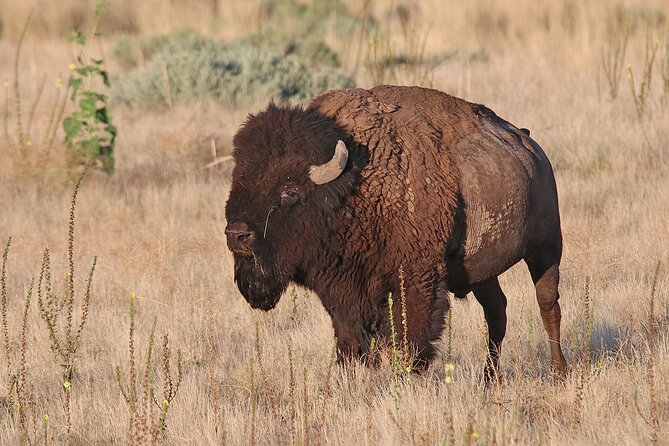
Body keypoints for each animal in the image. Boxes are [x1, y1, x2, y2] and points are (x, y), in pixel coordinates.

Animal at [225, 85, 567, 379]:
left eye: (290, 191)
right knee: (497, 313)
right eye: (238, 182)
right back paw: (489, 379)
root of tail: (531, 147)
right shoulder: (342, 293)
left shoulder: (416, 281)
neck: (355, 185)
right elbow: (350, 342)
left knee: (548, 305)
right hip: (482, 273)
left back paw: (559, 372)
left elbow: (409, 341)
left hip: (546, 249)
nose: (237, 234)